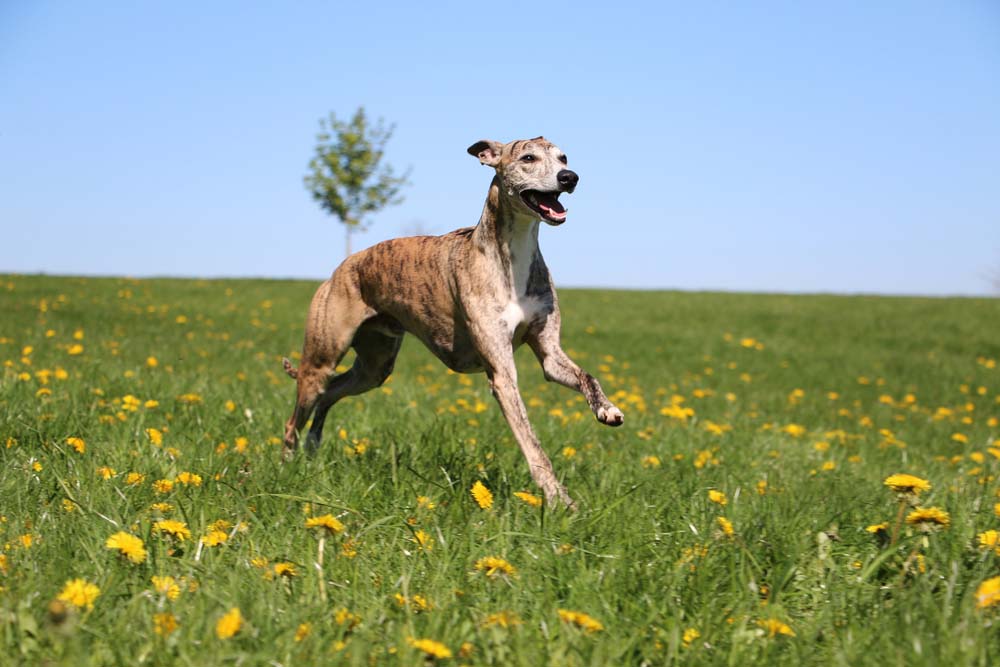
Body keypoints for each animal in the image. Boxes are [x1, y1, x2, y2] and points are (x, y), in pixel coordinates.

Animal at [284, 138, 624, 508]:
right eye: (528, 158)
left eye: (563, 157)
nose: (570, 178)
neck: (512, 254)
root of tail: (342, 267)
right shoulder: (502, 375)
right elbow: (532, 443)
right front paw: (559, 499)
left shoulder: (549, 353)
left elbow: (586, 376)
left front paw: (606, 409)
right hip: (322, 358)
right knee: (297, 416)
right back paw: (288, 467)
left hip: (375, 367)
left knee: (331, 393)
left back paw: (312, 448)